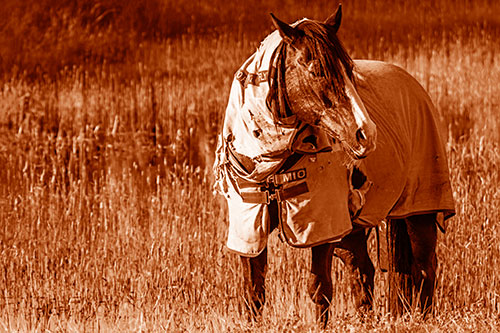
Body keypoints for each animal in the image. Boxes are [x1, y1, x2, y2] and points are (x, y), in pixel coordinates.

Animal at [213, 4, 456, 326]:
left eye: (349, 70)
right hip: (352, 230)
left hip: (419, 212)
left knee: (425, 266)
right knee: (362, 270)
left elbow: (319, 287)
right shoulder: (250, 224)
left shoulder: (322, 225)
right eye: (317, 70)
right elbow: (253, 291)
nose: (366, 133)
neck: (273, 158)